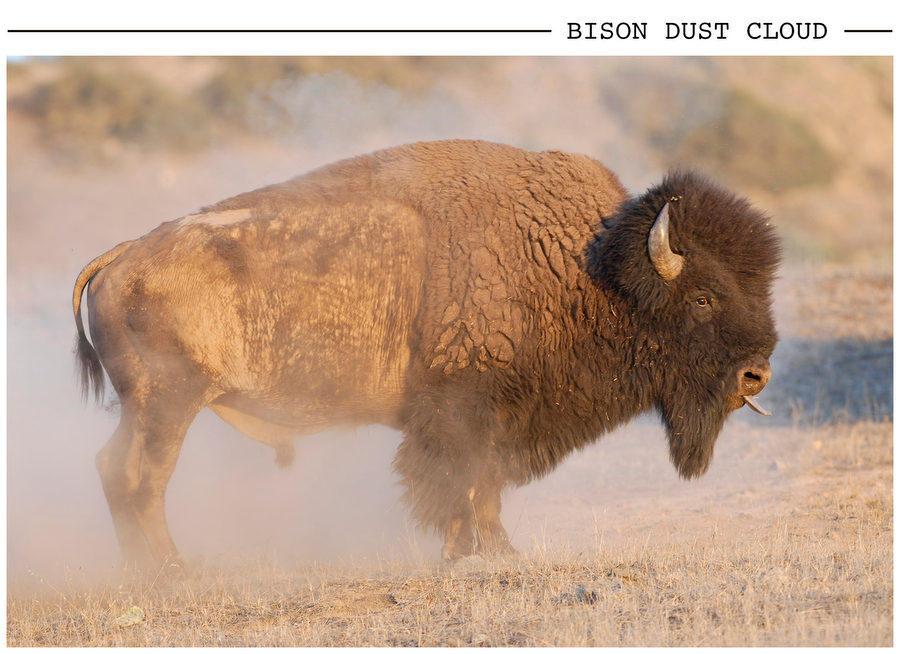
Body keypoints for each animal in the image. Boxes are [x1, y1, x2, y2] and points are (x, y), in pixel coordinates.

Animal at [73, 140, 780, 568]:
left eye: (757, 286)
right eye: (703, 298)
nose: (757, 374)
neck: (588, 267)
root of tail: (121, 257)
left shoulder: (501, 415)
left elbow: (486, 484)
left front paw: (500, 553)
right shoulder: (461, 411)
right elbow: (457, 481)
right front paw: (463, 552)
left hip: (147, 409)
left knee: (113, 471)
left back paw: (143, 572)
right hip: (168, 406)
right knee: (143, 477)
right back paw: (175, 571)